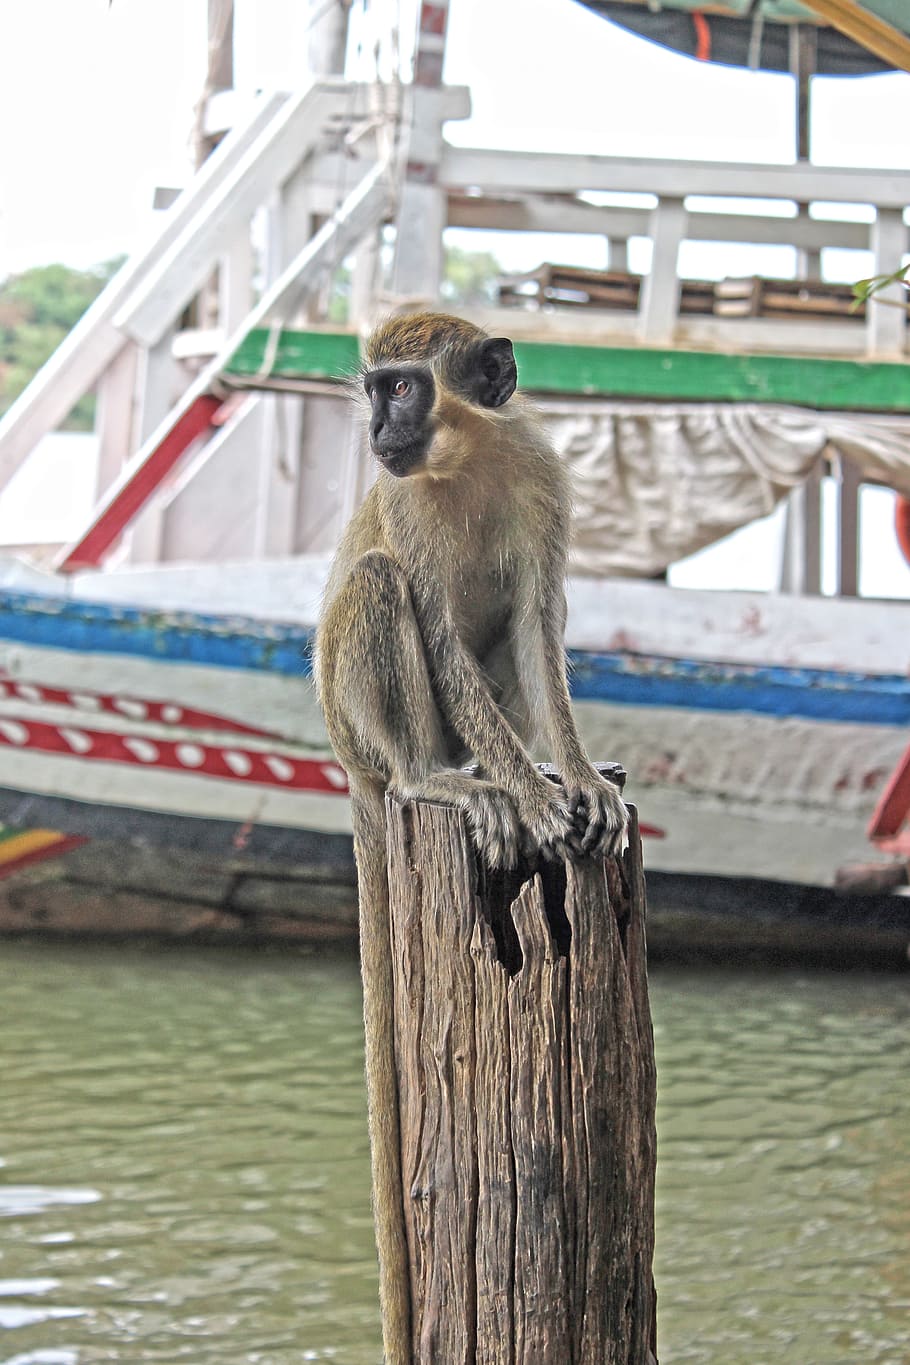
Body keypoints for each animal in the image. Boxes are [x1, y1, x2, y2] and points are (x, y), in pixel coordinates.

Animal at [314, 312, 627, 1363]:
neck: (469, 457)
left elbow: (536, 624)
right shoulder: (406, 505)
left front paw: (574, 777)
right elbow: (441, 635)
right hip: (354, 717)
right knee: (381, 583)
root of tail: (354, 771)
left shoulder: (542, 475)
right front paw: (535, 799)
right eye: (377, 387)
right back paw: (447, 781)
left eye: (403, 387)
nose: (378, 428)